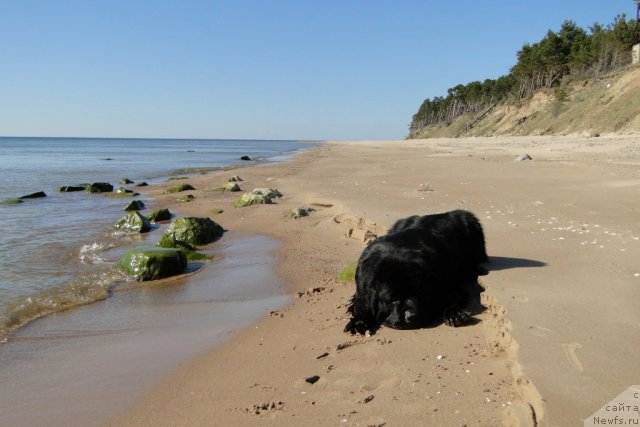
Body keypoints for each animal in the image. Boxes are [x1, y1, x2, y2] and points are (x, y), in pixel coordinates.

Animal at [348, 209, 488, 336]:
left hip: (469, 221)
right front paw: (358, 323)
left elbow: (453, 296)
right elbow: (360, 306)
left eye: (419, 294)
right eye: (393, 300)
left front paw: (454, 314)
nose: (411, 316)